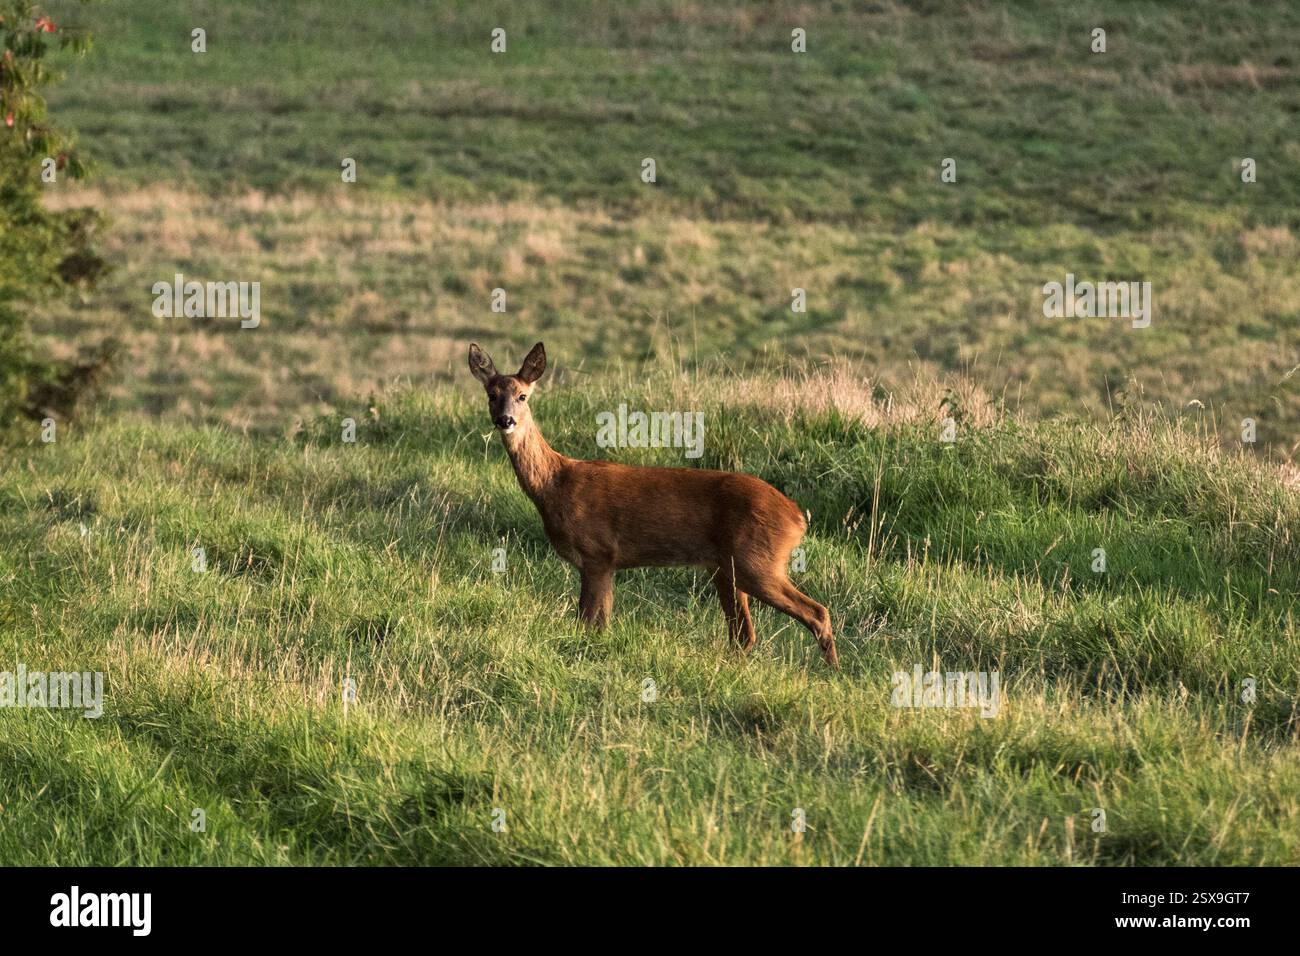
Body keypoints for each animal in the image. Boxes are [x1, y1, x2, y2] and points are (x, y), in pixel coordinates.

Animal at [468, 342, 838, 667]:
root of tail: (797, 517)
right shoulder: (604, 562)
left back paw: (831, 671)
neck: (556, 484)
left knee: (816, 612)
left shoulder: (598, 553)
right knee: (744, 633)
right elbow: (597, 622)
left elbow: (590, 622)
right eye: (491, 395)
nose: (505, 420)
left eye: (523, 395)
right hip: (724, 567)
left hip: (757, 561)